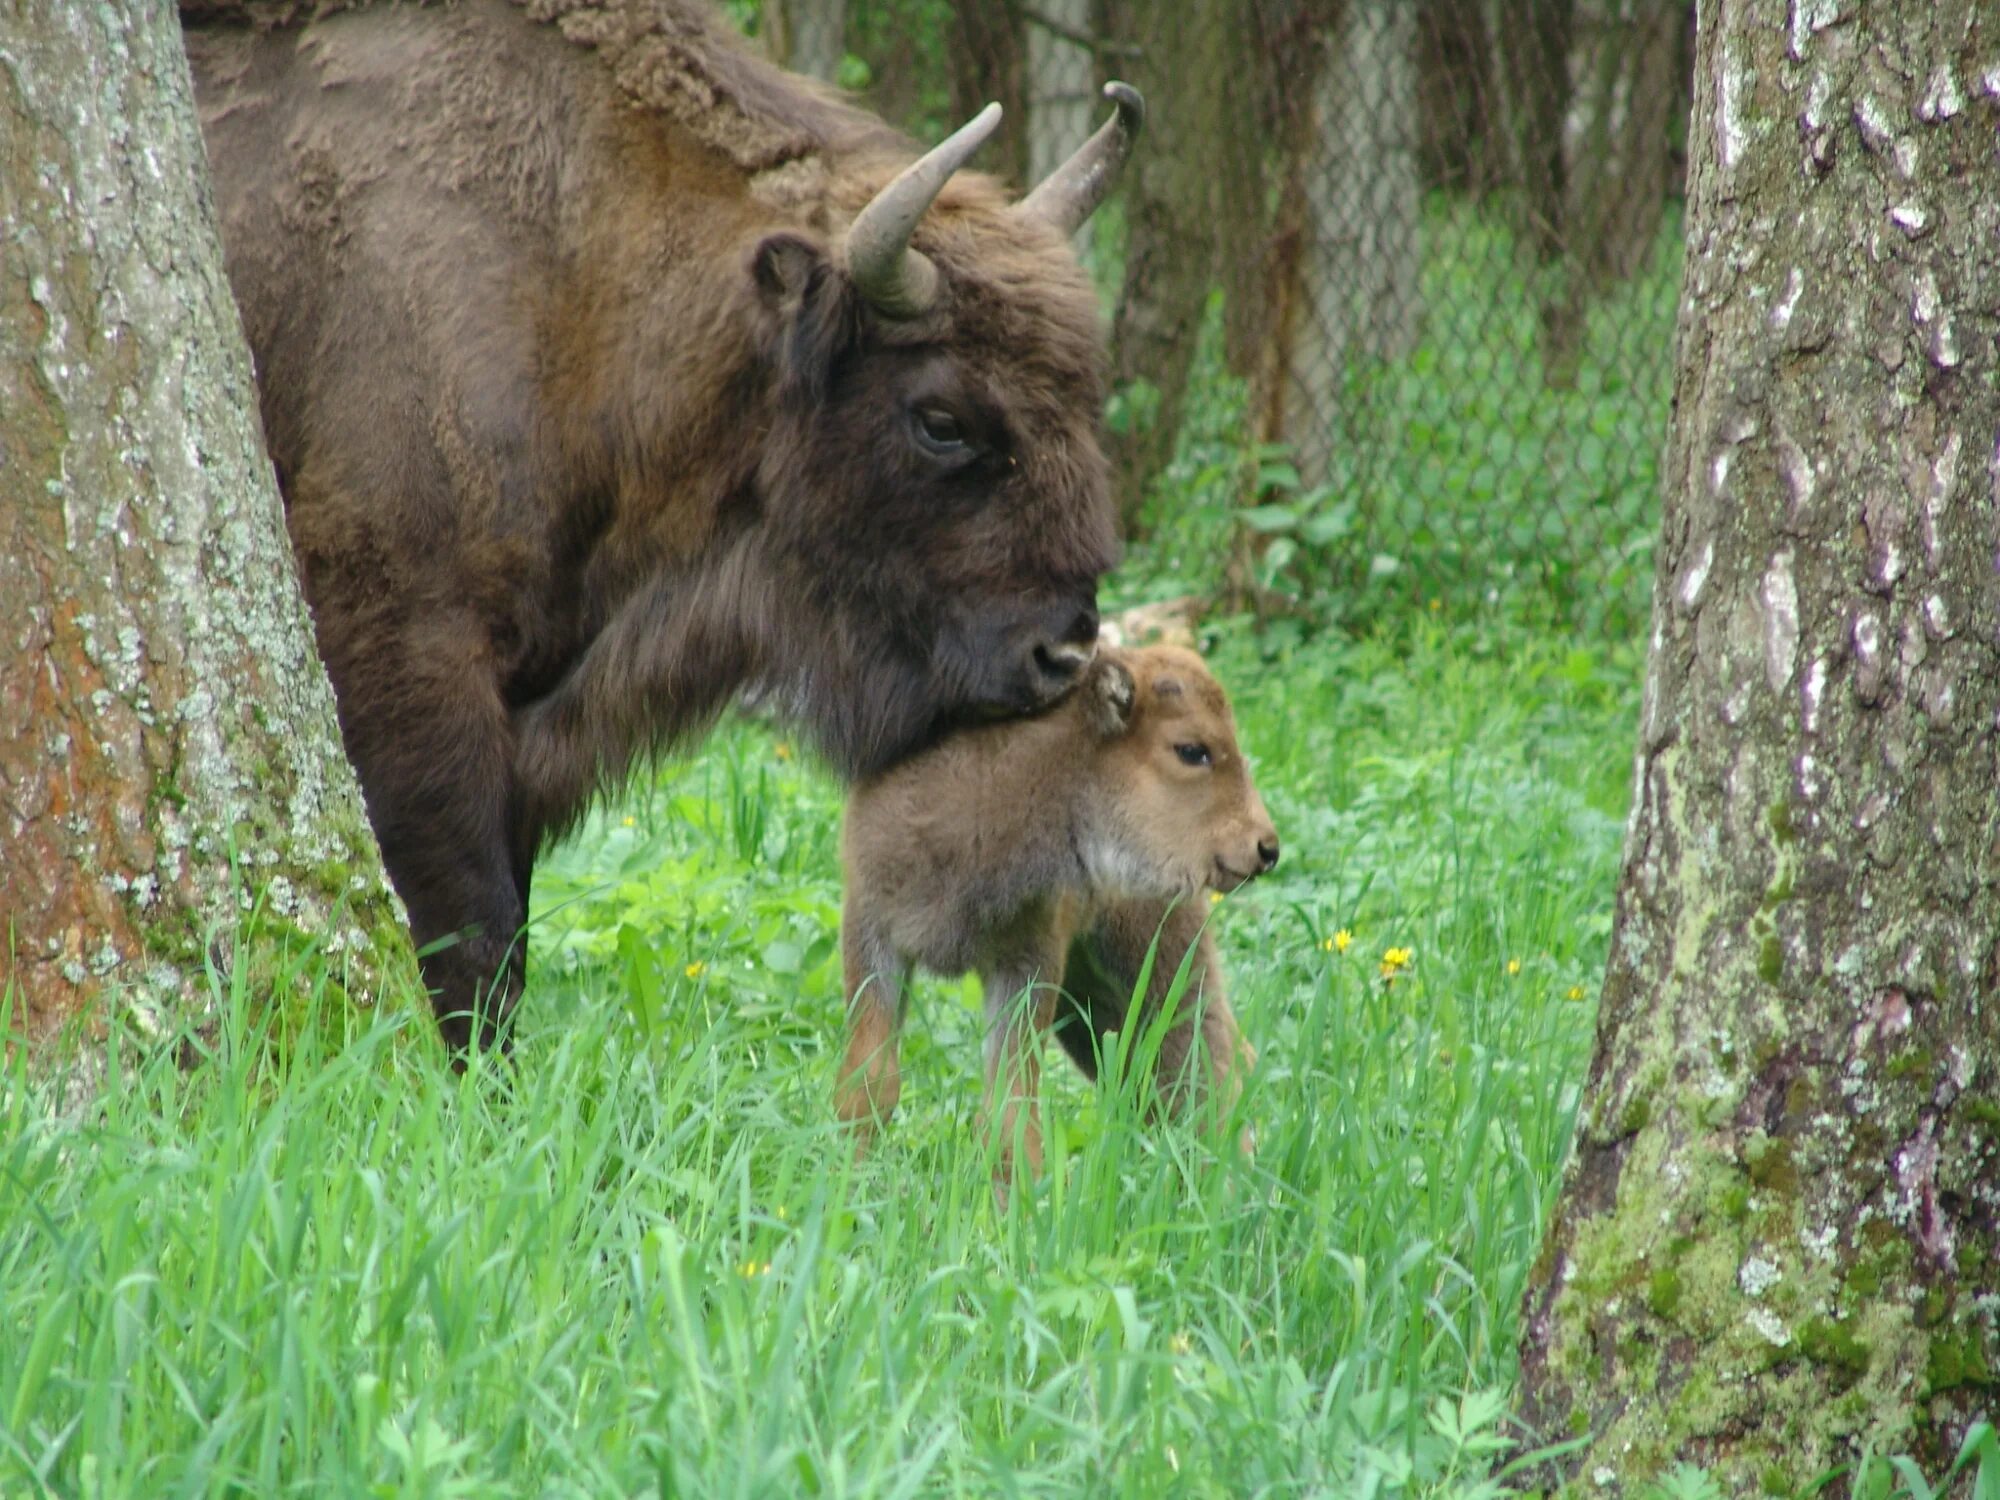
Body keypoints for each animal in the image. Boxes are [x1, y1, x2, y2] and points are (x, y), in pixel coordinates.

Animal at [186, 0, 1144, 1048]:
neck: (579, 276)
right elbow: (470, 923)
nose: (1062, 652)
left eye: (1083, 397)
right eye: (941, 419)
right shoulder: (411, 662)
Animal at [832, 648, 1272, 1200]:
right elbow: (869, 1082)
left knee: (1212, 1062)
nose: (1265, 846)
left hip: (1160, 962)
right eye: (1192, 749)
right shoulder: (872, 933)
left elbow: (1008, 1109)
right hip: (1097, 1001)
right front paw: (848, 1187)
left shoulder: (1026, 966)